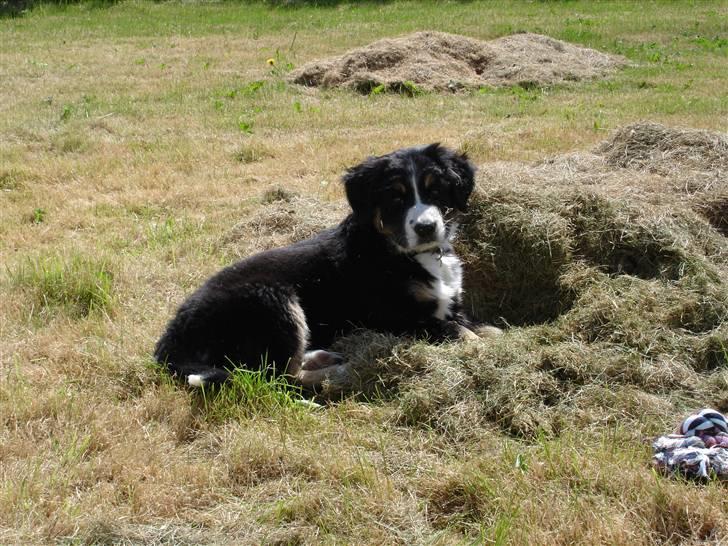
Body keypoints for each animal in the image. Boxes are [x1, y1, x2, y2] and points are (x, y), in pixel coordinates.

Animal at [156, 142, 492, 384]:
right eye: (396, 198)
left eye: (435, 189)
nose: (426, 227)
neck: (398, 252)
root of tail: (171, 337)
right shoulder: (393, 317)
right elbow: (457, 331)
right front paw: (481, 349)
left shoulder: (450, 305)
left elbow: (481, 327)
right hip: (272, 299)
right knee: (275, 377)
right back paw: (339, 373)